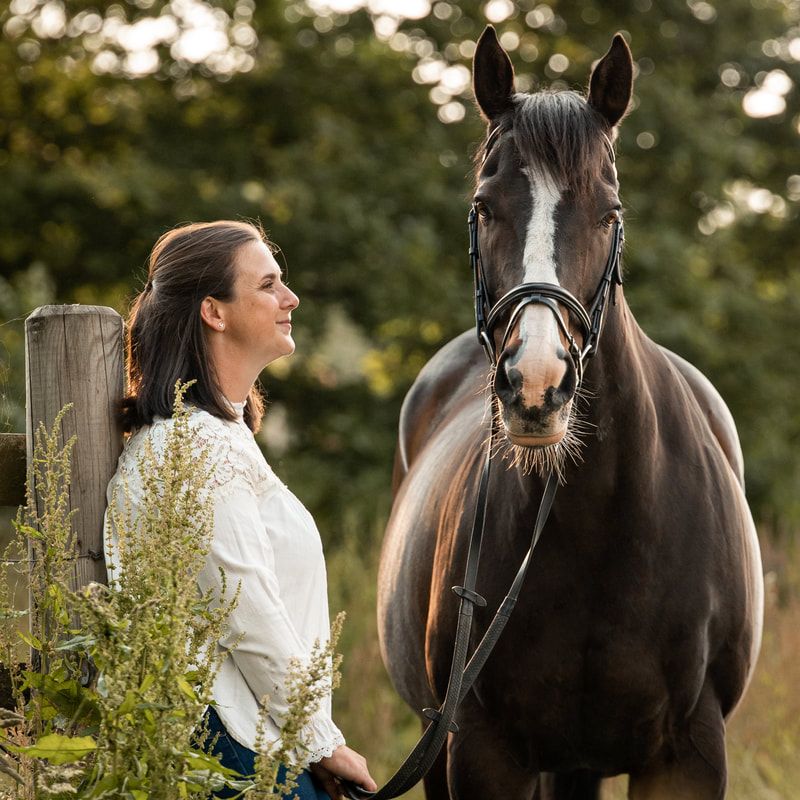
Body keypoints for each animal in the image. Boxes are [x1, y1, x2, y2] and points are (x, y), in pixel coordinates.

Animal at [377, 28, 763, 800]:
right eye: (484, 207)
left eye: (610, 213)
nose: (536, 384)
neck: (602, 516)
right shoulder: (481, 753)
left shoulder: (686, 755)